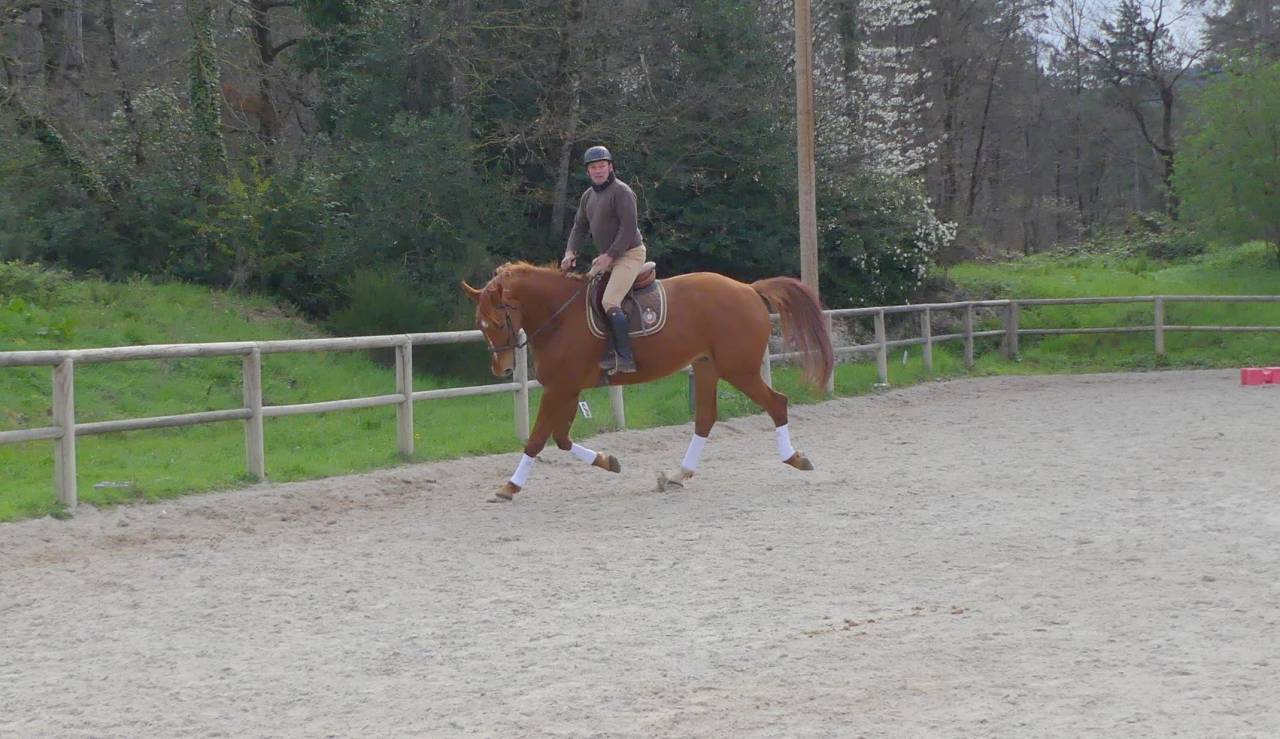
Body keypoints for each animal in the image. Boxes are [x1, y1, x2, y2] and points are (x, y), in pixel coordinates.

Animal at [461, 262, 834, 502]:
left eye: (499, 321)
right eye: (480, 324)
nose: (501, 369)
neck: (561, 317)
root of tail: (748, 289)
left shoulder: (560, 388)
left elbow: (537, 440)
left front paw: (509, 487)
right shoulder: (568, 389)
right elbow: (561, 439)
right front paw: (608, 461)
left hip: (738, 369)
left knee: (776, 403)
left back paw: (795, 458)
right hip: (707, 367)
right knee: (705, 418)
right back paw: (677, 476)